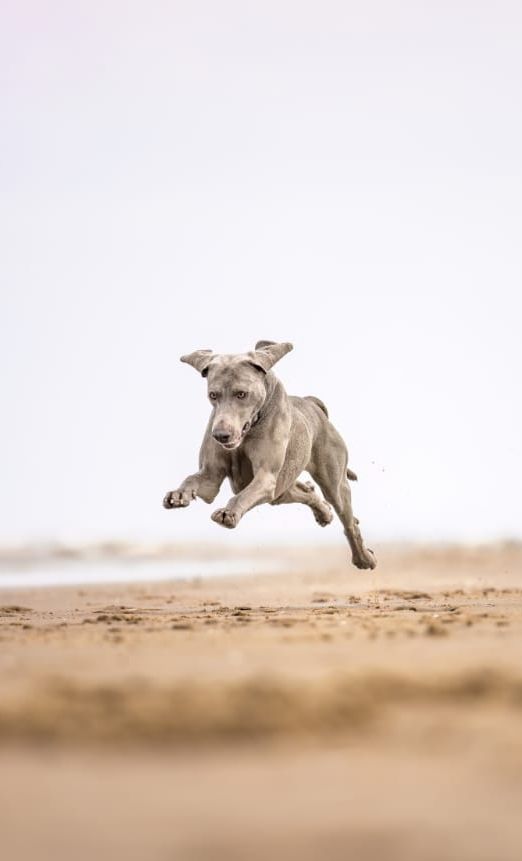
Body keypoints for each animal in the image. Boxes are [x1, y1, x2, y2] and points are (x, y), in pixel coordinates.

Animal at [161, 340, 374, 568]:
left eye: (241, 394)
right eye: (213, 395)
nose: (220, 435)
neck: (251, 427)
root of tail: (312, 404)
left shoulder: (266, 476)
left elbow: (243, 495)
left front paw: (228, 513)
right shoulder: (211, 477)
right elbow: (193, 478)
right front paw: (178, 495)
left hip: (331, 482)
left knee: (348, 519)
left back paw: (364, 557)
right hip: (282, 488)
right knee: (306, 492)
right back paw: (323, 512)